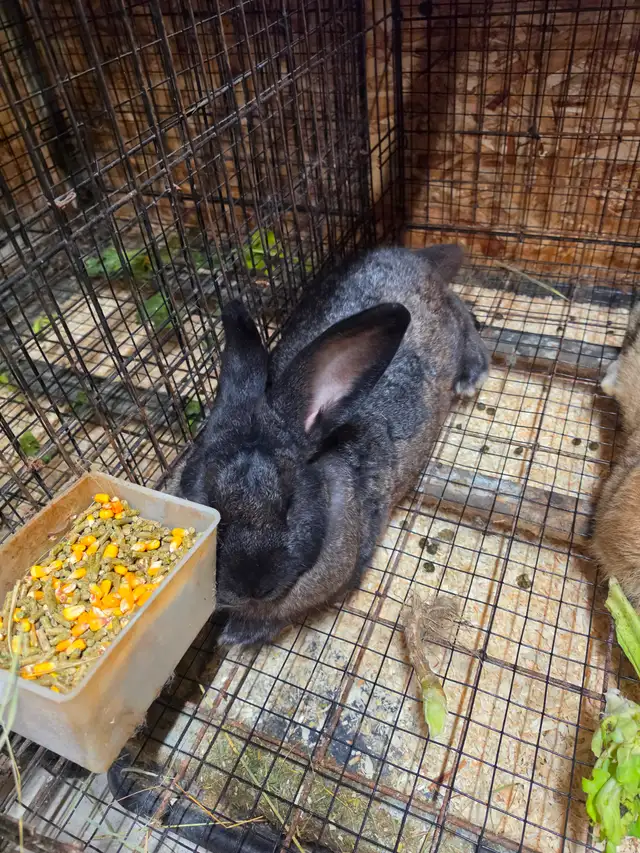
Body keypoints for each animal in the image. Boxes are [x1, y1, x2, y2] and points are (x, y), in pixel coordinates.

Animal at [167, 244, 489, 646]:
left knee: (462, 314)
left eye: (290, 505)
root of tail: (409, 255)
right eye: (209, 502)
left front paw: (237, 635)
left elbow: (281, 615)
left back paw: (472, 373)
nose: (251, 586)